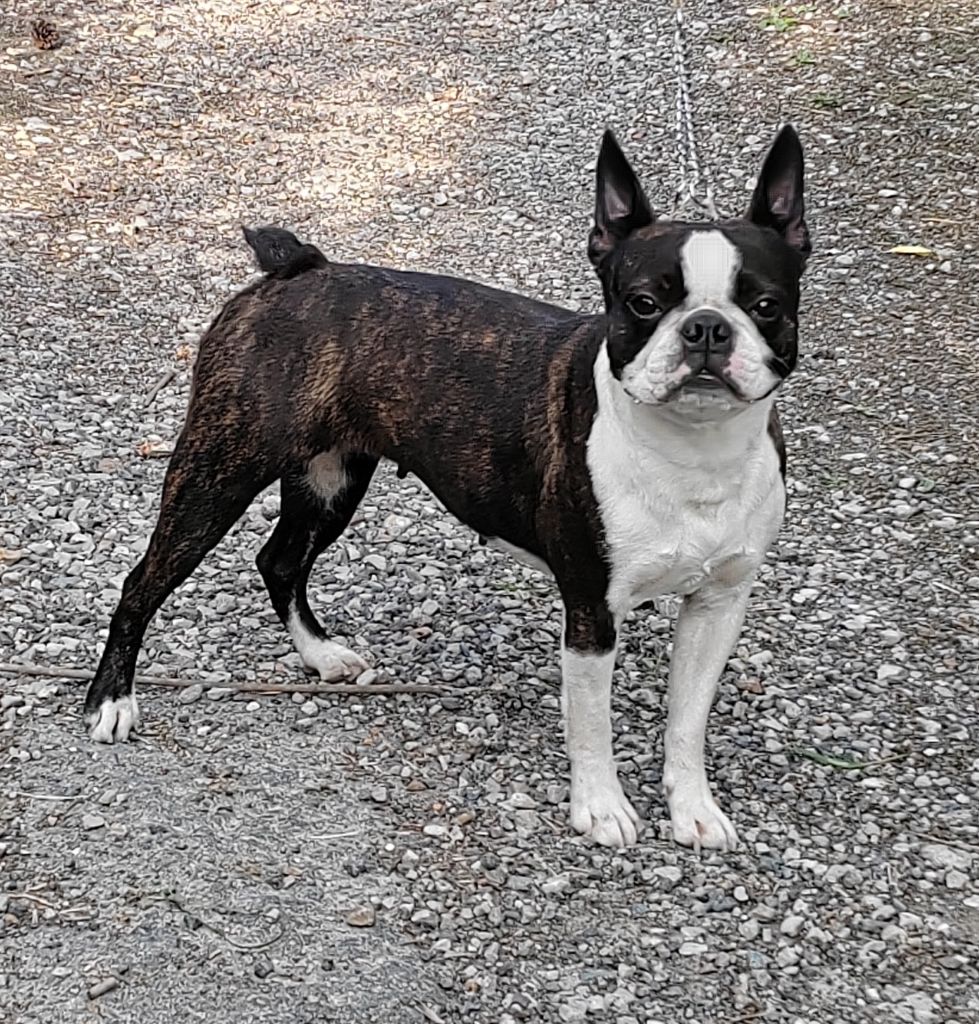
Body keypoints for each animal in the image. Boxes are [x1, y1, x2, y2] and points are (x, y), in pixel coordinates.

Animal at [86, 125, 811, 847]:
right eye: (642, 304)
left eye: (766, 306)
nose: (706, 327)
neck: (695, 451)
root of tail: (298, 267)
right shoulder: (590, 611)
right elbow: (592, 724)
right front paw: (601, 807)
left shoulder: (717, 607)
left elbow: (687, 718)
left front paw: (693, 808)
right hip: (219, 471)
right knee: (144, 580)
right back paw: (112, 700)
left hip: (330, 480)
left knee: (280, 559)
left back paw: (320, 655)